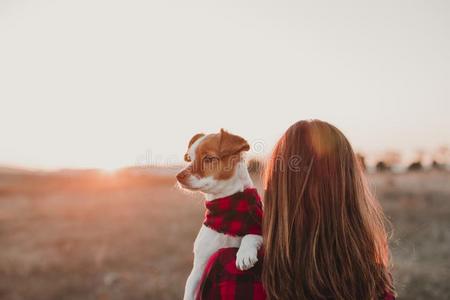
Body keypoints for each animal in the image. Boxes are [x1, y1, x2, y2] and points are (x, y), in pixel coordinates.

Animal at [176, 129, 264, 300]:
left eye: (209, 159)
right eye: (189, 158)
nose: (178, 176)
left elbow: (252, 234)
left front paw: (244, 254)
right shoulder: (198, 271)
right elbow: (189, 292)